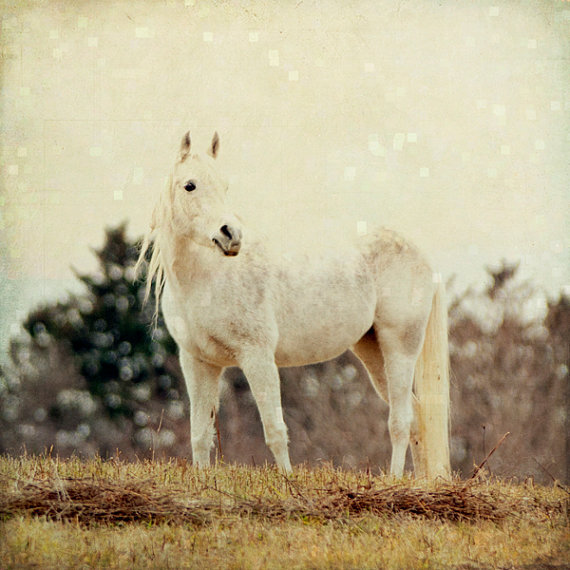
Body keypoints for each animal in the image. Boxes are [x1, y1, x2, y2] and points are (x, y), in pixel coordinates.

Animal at [136, 131, 448, 478]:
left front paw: (287, 480)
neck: (208, 276)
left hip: (400, 347)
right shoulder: (198, 363)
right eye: (189, 185)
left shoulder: (257, 357)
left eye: (225, 186)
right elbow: (200, 435)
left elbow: (275, 430)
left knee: (401, 421)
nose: (231, 235)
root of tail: (420, 253)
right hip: (372, 351)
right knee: (416, 417)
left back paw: (395, 478)